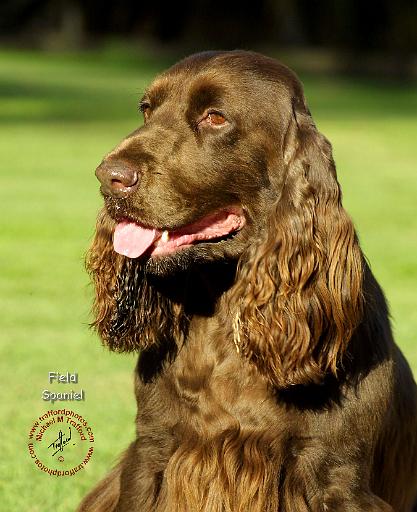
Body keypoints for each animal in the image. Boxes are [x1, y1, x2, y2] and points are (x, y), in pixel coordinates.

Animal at [79, 52, 416, 512]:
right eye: (146, 110)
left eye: (215, 117)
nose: (107, 176)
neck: (224, 312)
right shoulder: (151, 453)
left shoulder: (338, 477)